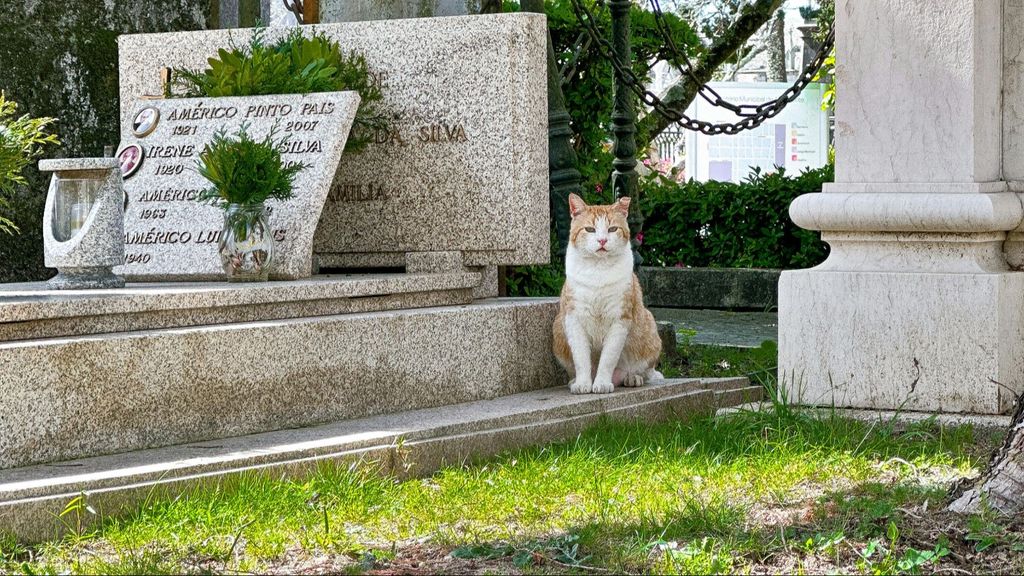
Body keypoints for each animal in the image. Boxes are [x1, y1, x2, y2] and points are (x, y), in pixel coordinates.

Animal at [552, 191, 663, 389]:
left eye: (612, 229)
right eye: (589, 229)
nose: (602, 240)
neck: (598, 270)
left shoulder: (620, 319)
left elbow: (608, 358)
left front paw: (602, 383)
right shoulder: (574, 318)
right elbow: (581, 358)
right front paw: (582, 383)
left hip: (649, 326)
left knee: (645, 369)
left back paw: (632, 378)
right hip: (557, 328)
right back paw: (573, 381)